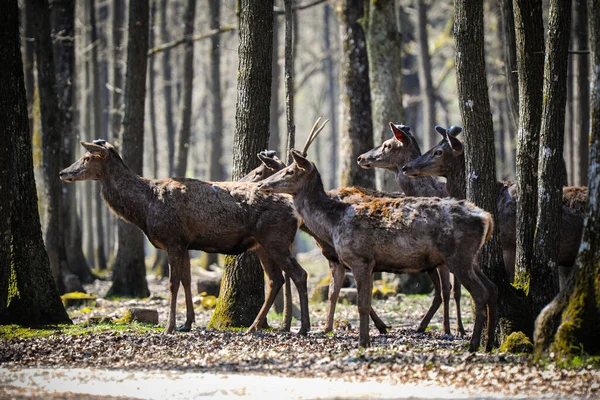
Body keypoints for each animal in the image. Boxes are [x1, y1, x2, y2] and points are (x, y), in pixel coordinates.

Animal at [59, 139, 312, 336]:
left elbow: (172, 284)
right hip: (261, 245)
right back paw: (253, 326)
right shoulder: (185, 243)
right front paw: (186, 323)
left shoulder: (173, 239)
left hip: (275, 239)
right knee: (275, 280)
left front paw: (169, 327)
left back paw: (303, 328)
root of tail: (295, 212)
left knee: (299, 274)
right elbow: (186, 280)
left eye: (86, 158)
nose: (63, 172)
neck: (144, 209)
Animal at [258, 148, 496, 352]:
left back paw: (474, 344)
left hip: (458, 255)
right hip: (471, 258)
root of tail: (486, 218)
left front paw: (363, 343)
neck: (333, 223)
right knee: (492, 288)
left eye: (290, 171)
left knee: (480, 293)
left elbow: (362, 304)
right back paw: (489, 343)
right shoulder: (366, 263)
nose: (262, 185)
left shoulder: (360, 258)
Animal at [356, 122, 464, 338]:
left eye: (387, 144)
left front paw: (448, 329)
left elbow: (448, 289)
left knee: (453, 289)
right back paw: (425, 326)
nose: (361, 157)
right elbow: (445, 289)